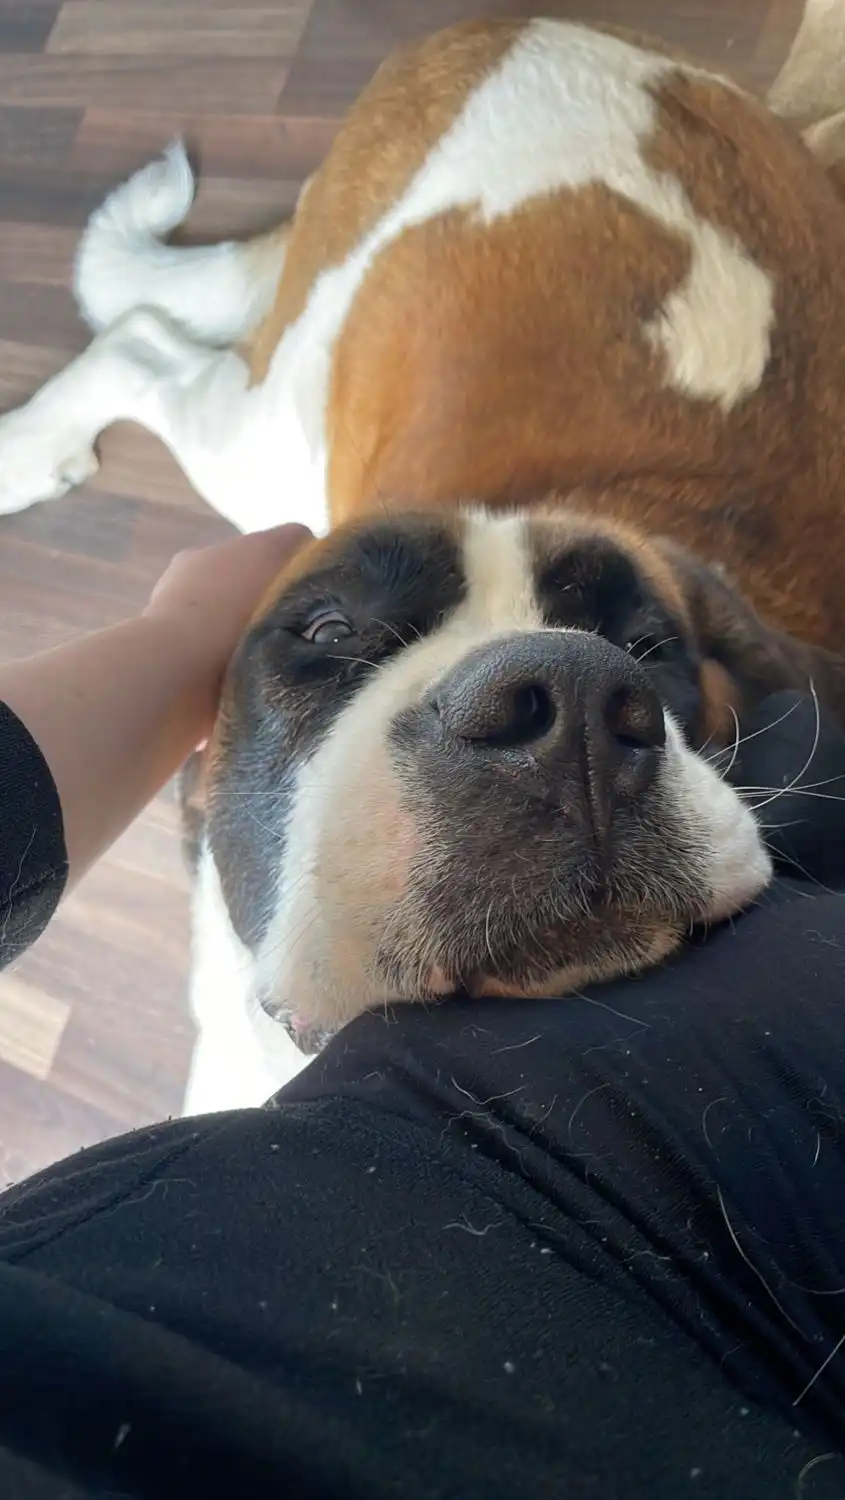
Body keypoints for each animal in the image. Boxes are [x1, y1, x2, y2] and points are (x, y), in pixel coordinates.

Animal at [3, 5, 845, 1112]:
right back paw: (29, 445)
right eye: (329, 630)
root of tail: (524, 25)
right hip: (276, 434)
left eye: (648, 645)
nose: (569, 702)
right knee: (141, 344)